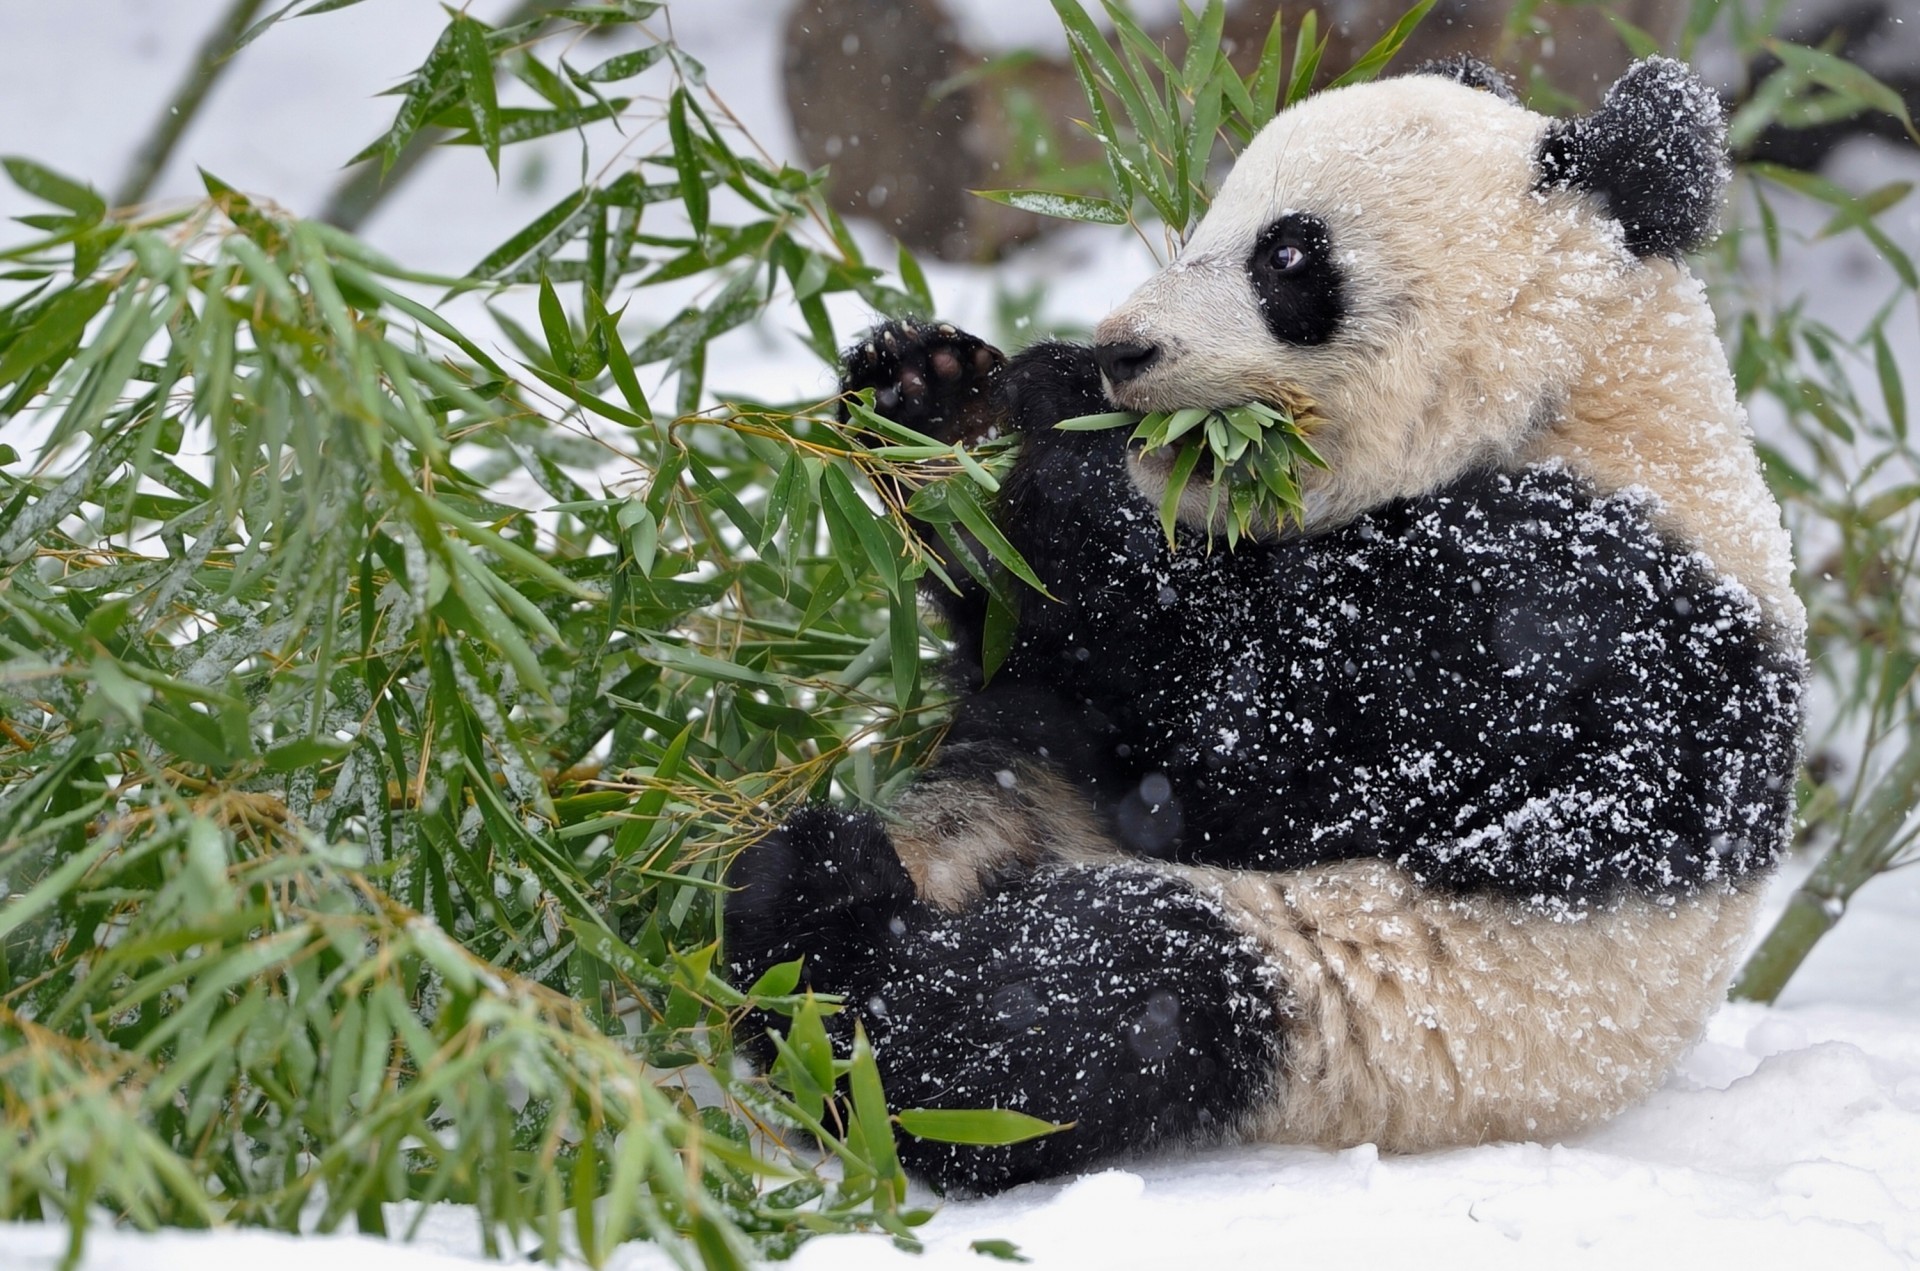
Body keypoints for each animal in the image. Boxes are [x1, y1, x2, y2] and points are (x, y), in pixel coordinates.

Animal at [723, 55, 1806, 1194]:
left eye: (1286, 255)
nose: (1121, 351)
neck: (1582, 389)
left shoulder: (1574, 606)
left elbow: (1262, 731)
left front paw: (1041, 417)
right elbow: (1037, 653)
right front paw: (929, 389)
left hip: (1365, 993)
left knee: (1094, 1000)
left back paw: (842, 951)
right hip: (1025, 800)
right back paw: (791, 896)